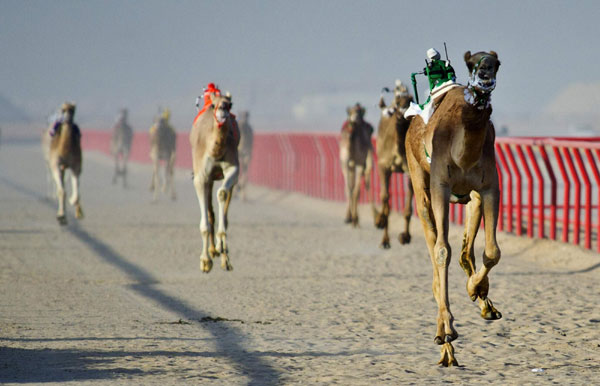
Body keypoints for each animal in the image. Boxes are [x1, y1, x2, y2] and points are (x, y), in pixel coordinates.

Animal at [191, 92, 240, 274]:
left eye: (230, 104)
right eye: (214, 105)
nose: (223, 110)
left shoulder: (233, 168)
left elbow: (222, 194)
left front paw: (221, 248)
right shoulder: (200, 177)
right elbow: (205, 223)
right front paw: (205, 261)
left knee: (223, 212)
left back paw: (223, 255)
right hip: (208, 179)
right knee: (210, 212)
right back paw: (212, 251)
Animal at [372, 81, 414, 249]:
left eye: (410, 100)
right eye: (397, 103)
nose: (403, 113)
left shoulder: (409, 169)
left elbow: (408, 206)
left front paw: (405, 237)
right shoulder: (383, 166)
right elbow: (385, 198)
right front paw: (384, 237)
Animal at [404, 50, 502, 364]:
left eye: (496, 63)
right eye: (471, 63)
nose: (485, 74)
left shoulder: (489, 187)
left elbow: (492, 251)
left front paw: (477, 292)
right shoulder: (440, 185)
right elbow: (441, 251)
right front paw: (446, 331)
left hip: (471, 198)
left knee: (465, 252)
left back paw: (484, 303)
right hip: (420, 183)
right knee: (435, 249)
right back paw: (445, 341)